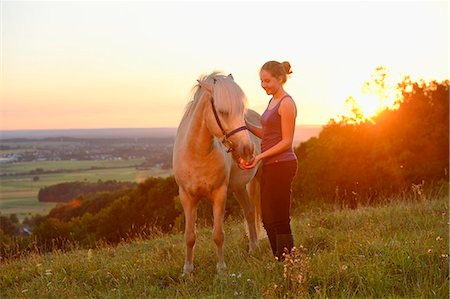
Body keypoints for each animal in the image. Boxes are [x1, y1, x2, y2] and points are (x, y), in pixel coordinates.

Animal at [174, 72, 262, 274]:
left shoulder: (219, 195)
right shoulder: (187, 197)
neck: (197, 154)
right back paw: (253, 248)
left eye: (241, 110)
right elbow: (189, 236)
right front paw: (187, 270)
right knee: (249, 211)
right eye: (222, 111)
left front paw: (221, 269)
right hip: (238, 188)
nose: (248, 150)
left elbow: (218, 234)